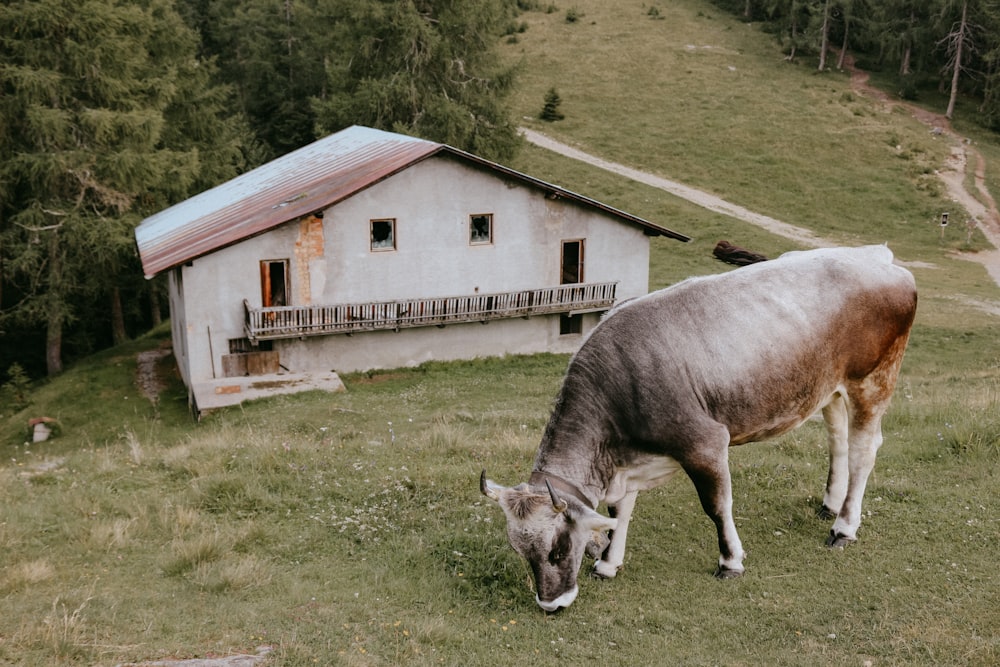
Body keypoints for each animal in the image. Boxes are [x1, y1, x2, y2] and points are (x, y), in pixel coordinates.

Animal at [480, 244, 916, 612]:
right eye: (521, 552)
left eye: (556, 550)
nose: (550, 605)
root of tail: (875, 255)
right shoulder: (627, 463)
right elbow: (619, 512)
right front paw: (607, 563)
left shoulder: (705, 443)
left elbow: (717, 506)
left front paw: (730, 561)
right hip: (829, 388)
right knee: (837, 439)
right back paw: (830, 504)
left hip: (873, 380)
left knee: (863, 452)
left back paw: (844, 527)